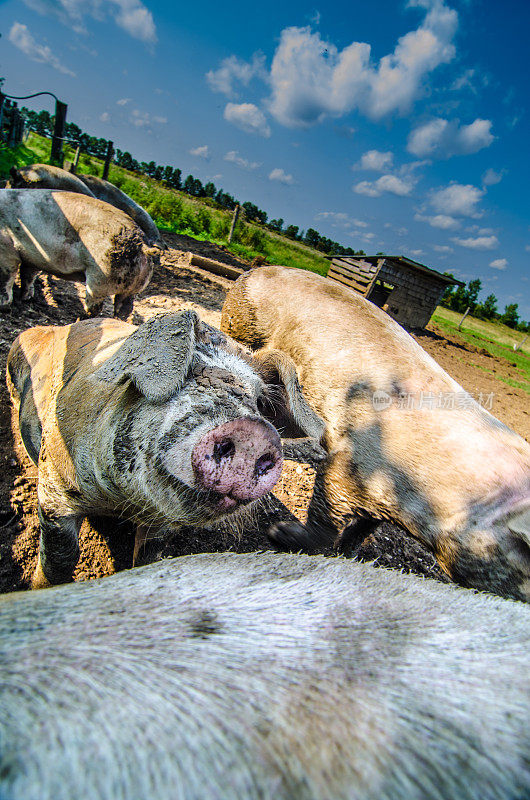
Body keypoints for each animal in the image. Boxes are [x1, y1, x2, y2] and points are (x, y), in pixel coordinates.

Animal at [0, 189, 157, 318]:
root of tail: (142, 245)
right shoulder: (32, 258)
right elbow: (28, 275)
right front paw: (25, 299)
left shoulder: (7, 249)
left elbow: (7, 278)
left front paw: (4, 307)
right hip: (133, 288)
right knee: (124, 309)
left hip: (99, 280)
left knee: (94, 308)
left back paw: (79, 321)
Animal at [6, 312, 322, 588]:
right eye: (186, 374)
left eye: (258, 401)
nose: (254, 432)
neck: (120, 503)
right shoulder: (54, 488)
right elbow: (58, 562)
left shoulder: (162, 523)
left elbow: (149, 556)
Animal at [221, 266, 528, 604]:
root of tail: (254, 270)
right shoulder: (349, 459)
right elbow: (327, 515)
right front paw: (279, 533)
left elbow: (364, 528)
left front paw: (349, 554)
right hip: (242, 322)